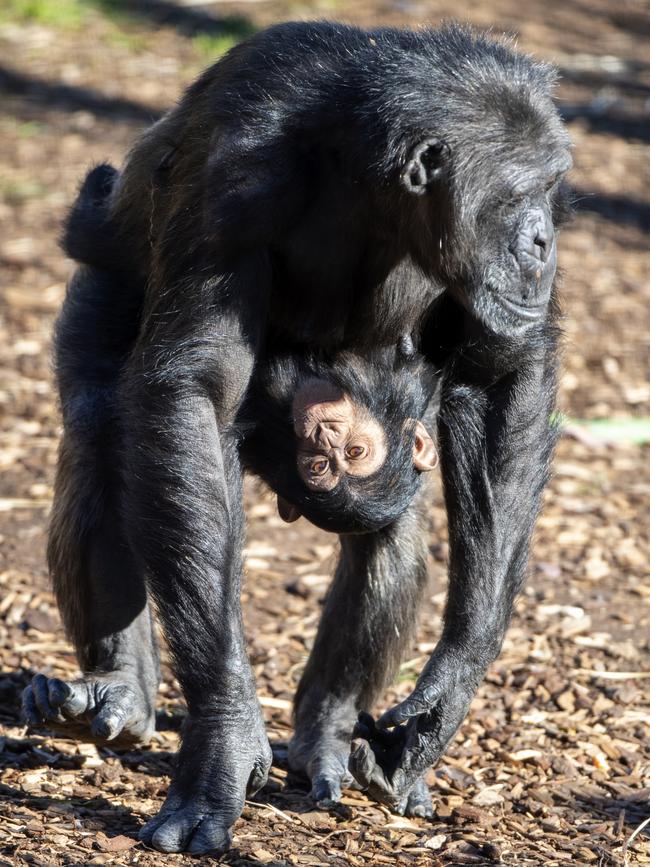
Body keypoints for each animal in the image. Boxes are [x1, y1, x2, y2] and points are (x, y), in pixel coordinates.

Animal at [21, 20, 568, 856]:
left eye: (552, 187)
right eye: (520, 192)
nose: (542, 238)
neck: (373, 189)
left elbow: (509, 364)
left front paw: (445, 695)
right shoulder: (235, 186)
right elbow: (194, 390)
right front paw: (224, 734)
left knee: (388, 541)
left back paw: (324, 738)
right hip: (102, 275)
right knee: (102, 429)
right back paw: (120, 689)